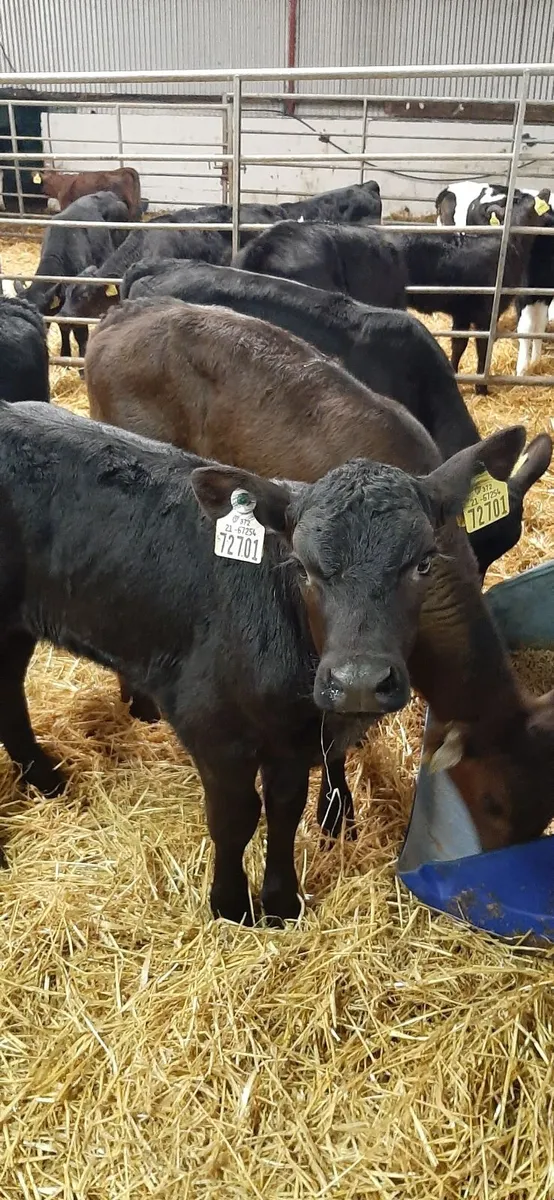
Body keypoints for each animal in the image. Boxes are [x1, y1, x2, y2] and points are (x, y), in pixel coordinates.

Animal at [0, 400, 544, 923]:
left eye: (424, 562)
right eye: (302, 567)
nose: (359, 682)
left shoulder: (294, 742)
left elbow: (285, 811)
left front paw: (281, 904)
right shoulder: (211, 728)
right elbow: (235, 817)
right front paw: (231, 907)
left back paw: (46, 780)